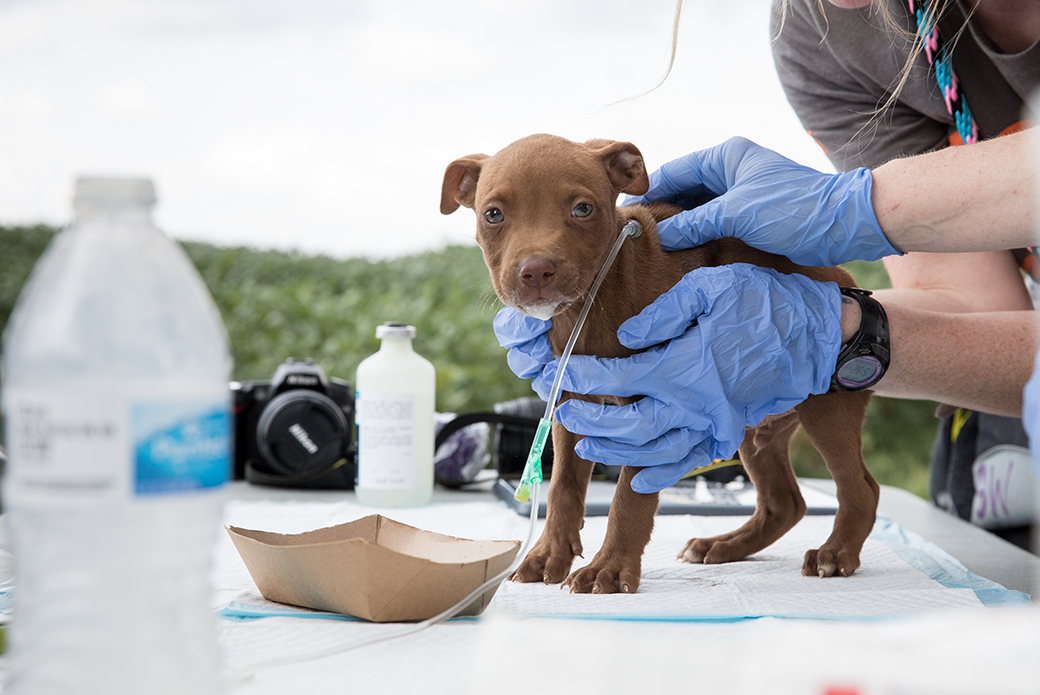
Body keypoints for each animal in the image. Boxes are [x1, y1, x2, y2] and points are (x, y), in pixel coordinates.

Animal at [438, 134, 877, 590]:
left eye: (583, 209)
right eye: (493, 214)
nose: (536, 271)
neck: (592, 307)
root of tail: (841, 276)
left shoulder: (654, 414)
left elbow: (630, 494)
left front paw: (609, 569)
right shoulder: (569, 403)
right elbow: (562, 487)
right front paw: (547, 555)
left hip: (828, 409)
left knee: (860, 488)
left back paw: (835, 553)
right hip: (749, 424)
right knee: (784, 502)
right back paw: (722, 546)